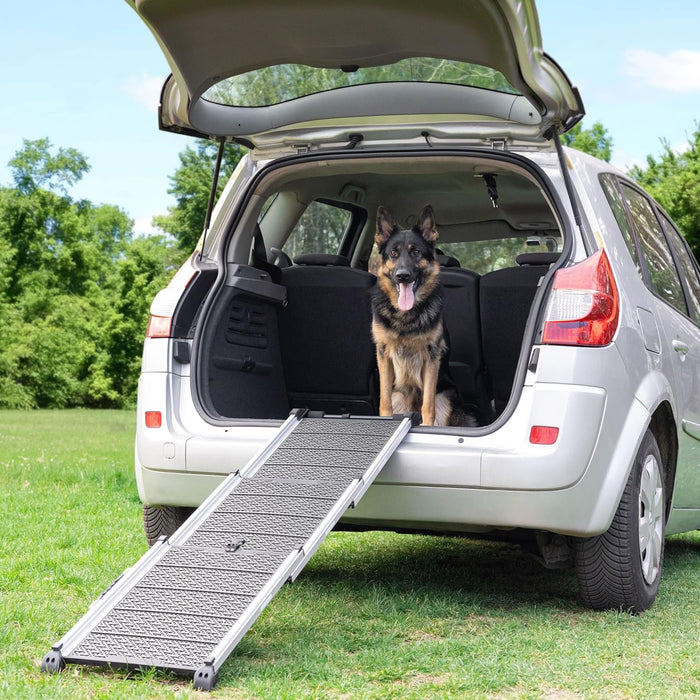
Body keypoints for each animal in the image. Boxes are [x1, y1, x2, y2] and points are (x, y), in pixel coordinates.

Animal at [370, 205, 468, 426]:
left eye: (415, 252)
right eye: (394, 253)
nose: (403, 276)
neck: (406, 317)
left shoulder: (432, 357)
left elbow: (428, 404)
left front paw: (426, 424)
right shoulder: (383, 355)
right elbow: (384, 401)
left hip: (445, 398)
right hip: (398, 395)